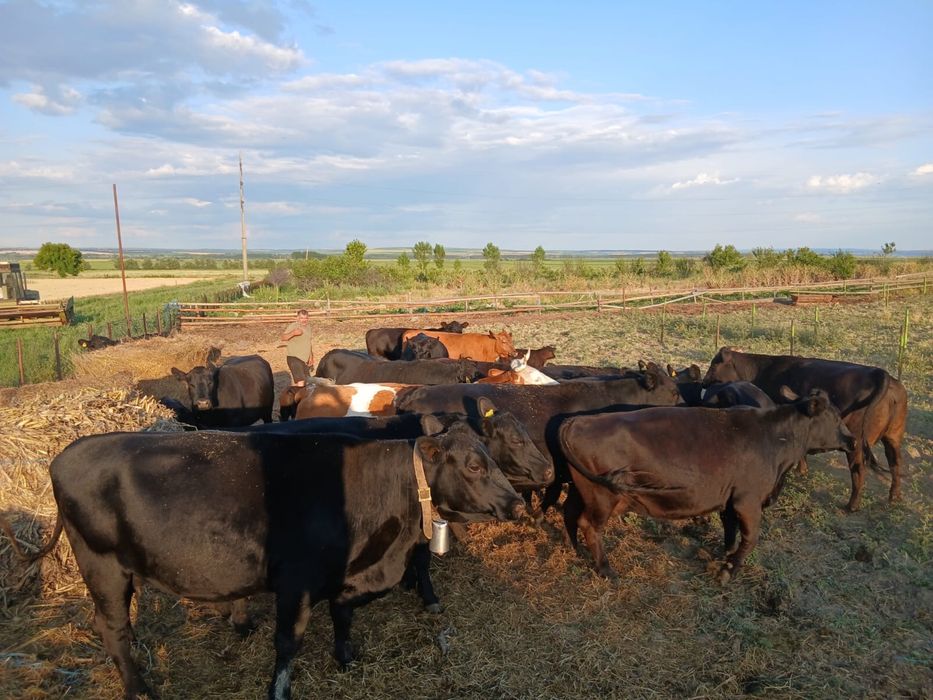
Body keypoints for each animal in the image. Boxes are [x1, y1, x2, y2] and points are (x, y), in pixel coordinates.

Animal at [9, 424, 523, 699]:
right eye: (474, 466)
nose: (518, 502)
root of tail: (69, 452)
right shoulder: (296, 583)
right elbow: (288, 644)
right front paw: (280, 690)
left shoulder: (345, 576)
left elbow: (343, 613)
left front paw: (346, 655)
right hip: (103, 565)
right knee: (113, 628)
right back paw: (138, 688)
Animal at [558, 389, 855, 580]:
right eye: (835, 417)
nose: (851, 440)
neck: (774, 438)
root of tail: (576, 421)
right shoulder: (747, 500)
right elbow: (750, 539)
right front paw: (728, 571)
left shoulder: (729, 500)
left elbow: (731, 532)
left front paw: (725, 555)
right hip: (602, 497)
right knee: (589, 526)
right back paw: (607, 570)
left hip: (584, 492)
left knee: (570, 514)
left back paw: (576, 549)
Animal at [703, 347, 908, 510]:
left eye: (713, 365)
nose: (704, 382)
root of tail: (879, 374)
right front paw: (802, 470)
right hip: (893, 437)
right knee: (896, 463)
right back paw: (895, 497)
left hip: (856, 442)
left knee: (859, 470)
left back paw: (852, 505)